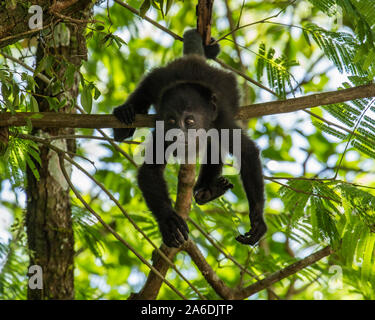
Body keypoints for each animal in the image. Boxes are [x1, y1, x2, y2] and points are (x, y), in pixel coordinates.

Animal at [113, 29, 266, 248]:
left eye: (190, 121)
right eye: (172, 120)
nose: (178, 133)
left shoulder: (221, 123)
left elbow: (246, 152)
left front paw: (258, 220)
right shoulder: (163, 130)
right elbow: (150, 170)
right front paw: (168, 221)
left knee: (214, 145)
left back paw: (206, 190)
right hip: (160, 77)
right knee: (148, 86)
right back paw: (126, 113)